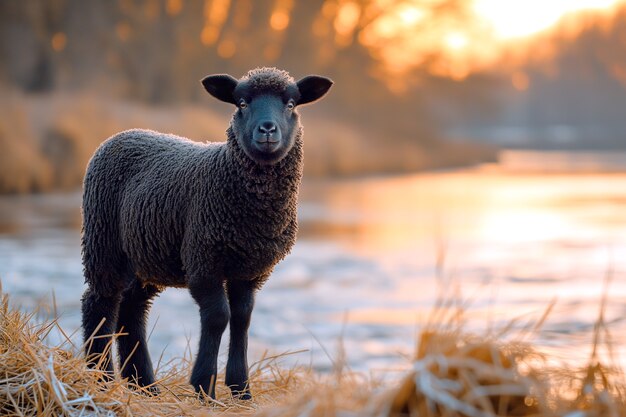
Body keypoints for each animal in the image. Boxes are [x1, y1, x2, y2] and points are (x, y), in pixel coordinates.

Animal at [83, 67, 332, 396]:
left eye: (291, 104)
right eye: (242, 103)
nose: (267, 129)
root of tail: (123, 133)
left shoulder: (249, 269)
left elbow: (242, 317)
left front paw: (241, 389)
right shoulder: (203, 259)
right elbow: (218, 316)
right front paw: (205, 387)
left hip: (146, 256)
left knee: (132, 310)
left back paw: (144, 384)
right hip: (105, 242)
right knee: (100, 304)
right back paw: (100, 379)